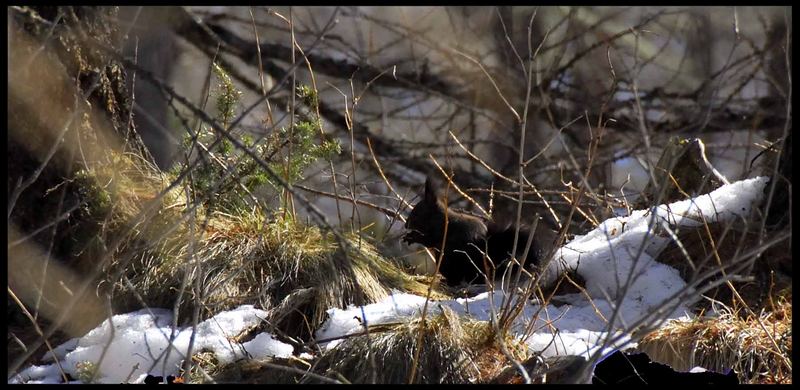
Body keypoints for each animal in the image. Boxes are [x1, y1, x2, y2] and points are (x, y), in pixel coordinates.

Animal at [404, 178, 552, 284]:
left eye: (417, 213)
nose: (406, 225)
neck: (438, 217)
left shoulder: (440, 230)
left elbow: (429, 240)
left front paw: (411, 237)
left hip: (452, 260)